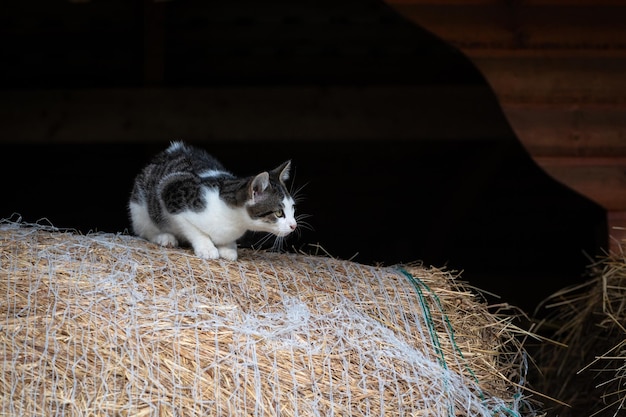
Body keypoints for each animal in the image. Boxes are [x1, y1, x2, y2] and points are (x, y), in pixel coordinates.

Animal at [128, 141, 296, 262]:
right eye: (279, 212)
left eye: (293, 208)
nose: (294, 225)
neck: (234, 221)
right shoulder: (171, 191)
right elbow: (193, 228)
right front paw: (207, 248)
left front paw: (228, 248)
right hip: (140, 207)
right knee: (144, 229)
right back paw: (164, 237)